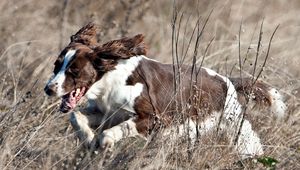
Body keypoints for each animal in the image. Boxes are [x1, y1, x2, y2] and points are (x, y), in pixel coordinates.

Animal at [44, 22, 286, 158]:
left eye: (74, 71)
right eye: (56, 65)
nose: (48, 89)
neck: (111, 81)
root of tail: (227, 81)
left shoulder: (154, 118)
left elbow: (111, 132)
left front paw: (105, 144)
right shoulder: (107, 113)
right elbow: (76, 116)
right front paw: (87, 139)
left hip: (232, 124)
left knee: (249, 142)